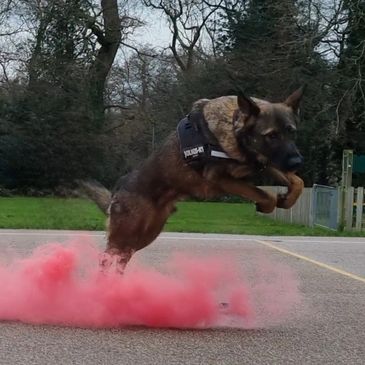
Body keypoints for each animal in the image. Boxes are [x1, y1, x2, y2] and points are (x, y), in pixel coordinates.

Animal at [82, 88, 304, 272]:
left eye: (292, 132)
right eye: (272, 135)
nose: (298, 161)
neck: (234, 127)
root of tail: (116, 194)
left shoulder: (265, 162)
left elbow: (297, 183)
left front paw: (287, 198)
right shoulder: (220, 178)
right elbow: (265, 194)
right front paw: (269, 203)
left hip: (146, 234)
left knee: (122, 257)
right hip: (128, 231)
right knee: (106, 256)